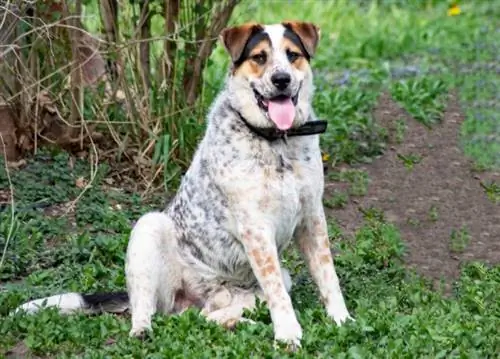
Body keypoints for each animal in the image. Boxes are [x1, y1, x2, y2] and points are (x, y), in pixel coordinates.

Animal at [15, 19, 354, 348]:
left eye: (292, 55)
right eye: (260, 58)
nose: (281, 79)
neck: (278, 142)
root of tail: (200, 295)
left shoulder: (311, 217)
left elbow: (328, 276)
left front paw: (342, 320)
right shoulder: (256, 229)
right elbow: (279, 296)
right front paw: (288, 334)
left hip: (269, 283)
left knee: (207, 315)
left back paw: (240, 323)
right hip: (149, 230)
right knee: (145, 308)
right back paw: (143, 330)